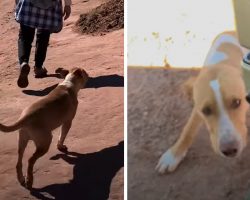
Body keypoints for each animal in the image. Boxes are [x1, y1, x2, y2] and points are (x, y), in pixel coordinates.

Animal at [155, 31, 249, 173]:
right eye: (206, 110)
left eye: (237, 102)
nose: (230, 150)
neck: (220, 63)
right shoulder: (197, 110)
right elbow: (188, 130)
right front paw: (173, 155)